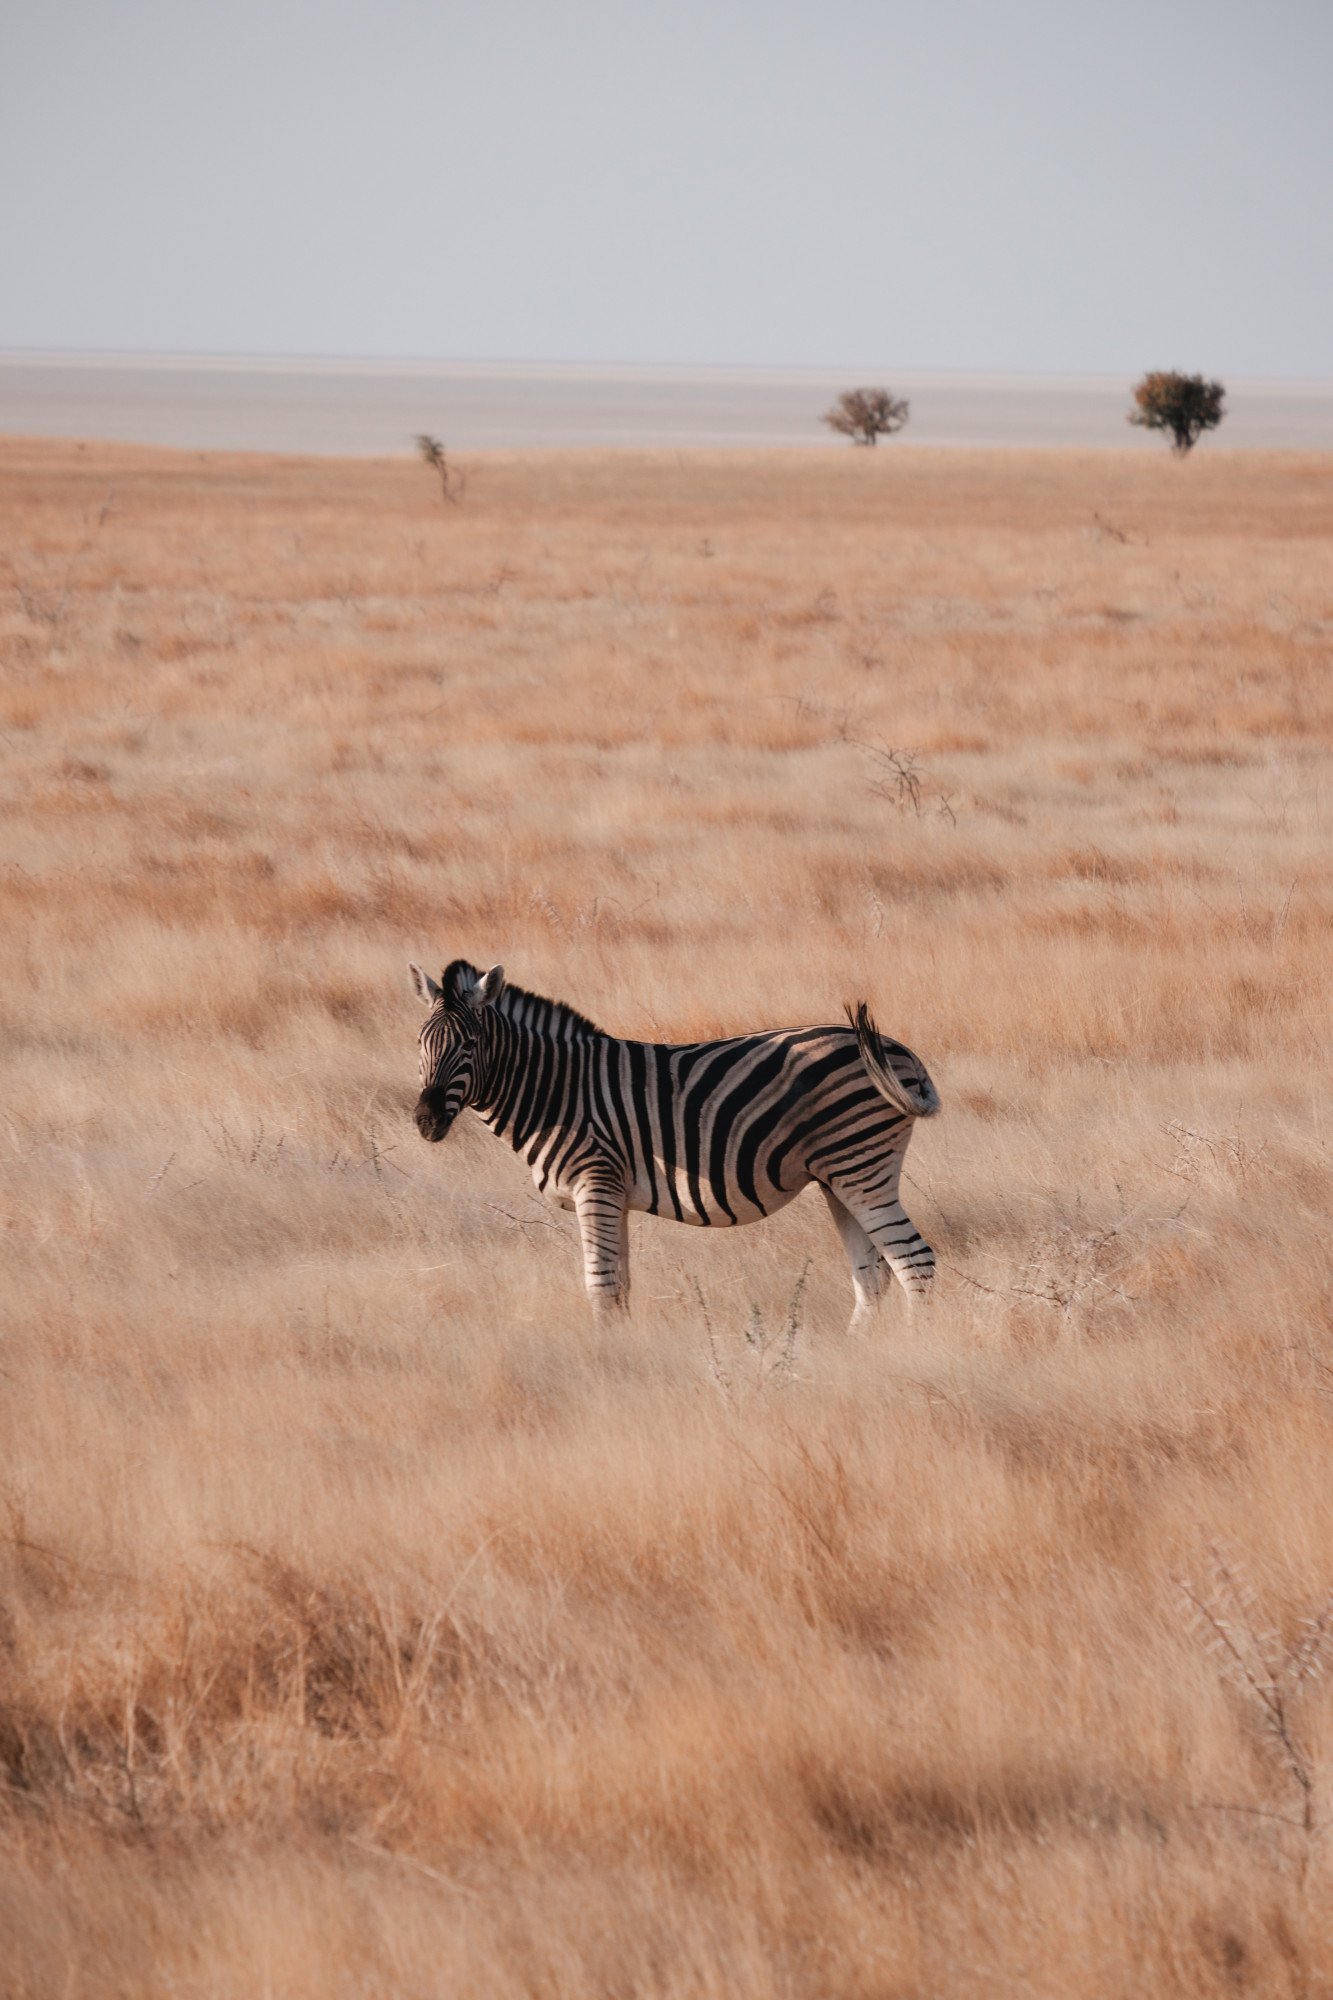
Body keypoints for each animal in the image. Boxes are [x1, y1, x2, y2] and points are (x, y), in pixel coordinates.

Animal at [409, 959, 940, 1330]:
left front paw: (607, 1363)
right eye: (419, 1044)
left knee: (915, 1265)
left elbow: (600, 1286)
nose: (425, 1121)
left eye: (470, 1044)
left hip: (861, 1165)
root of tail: (900, 1051)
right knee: (873, 1277)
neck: (554, 1091)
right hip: (836, 1176)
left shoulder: (595, 1184)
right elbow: (620, 1286)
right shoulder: (613, 1195)